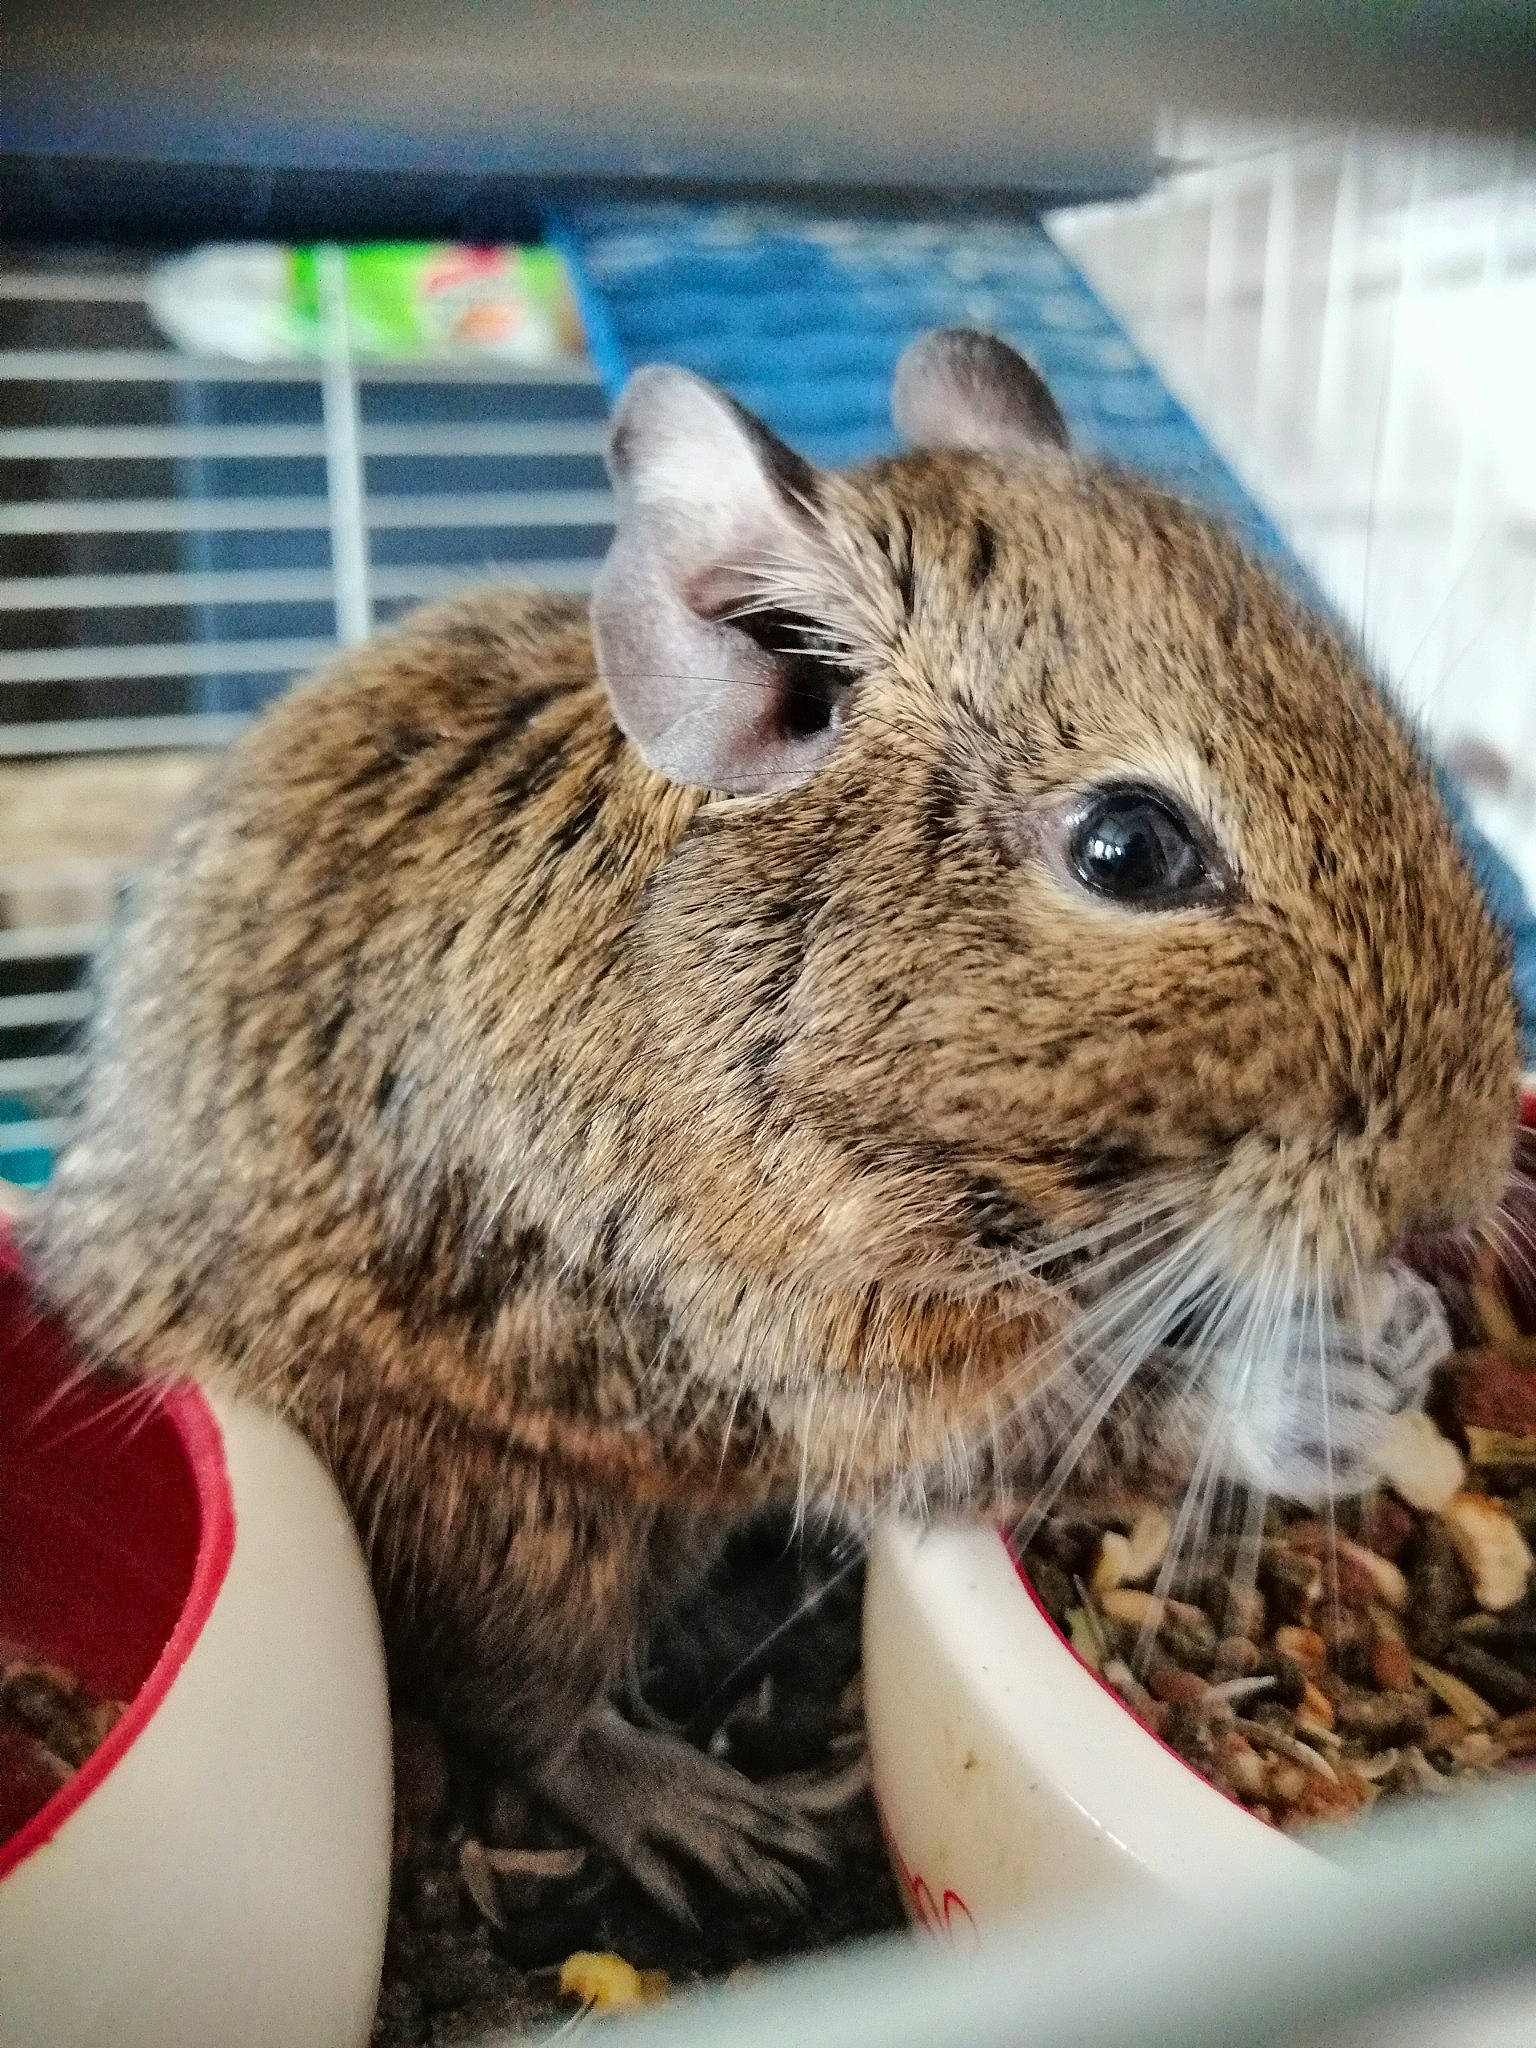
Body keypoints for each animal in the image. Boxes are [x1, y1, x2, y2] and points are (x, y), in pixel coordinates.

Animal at [30, 328, 1522, 1913]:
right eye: (1128, 849)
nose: (1456, 1184)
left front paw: (1407, 1325)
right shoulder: (839, 1346)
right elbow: (1066, 1421)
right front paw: (1323, 1388)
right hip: (507, 1518)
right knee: (519, 1706)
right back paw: (715, 1819)